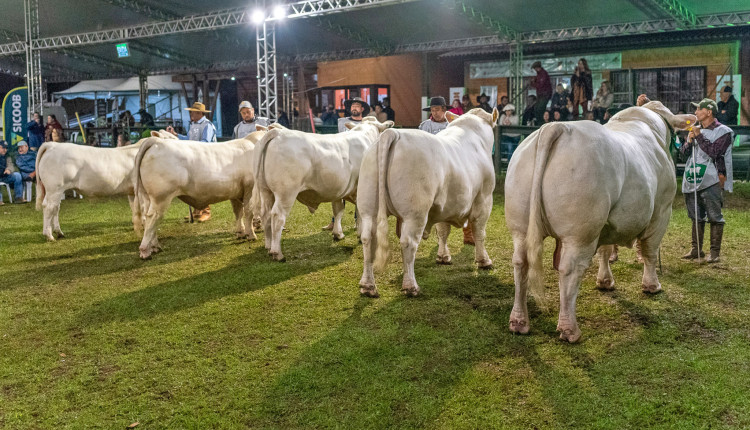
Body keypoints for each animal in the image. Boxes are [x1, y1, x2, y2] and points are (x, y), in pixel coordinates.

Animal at [135, 131, 268, 258]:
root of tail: (156, 141)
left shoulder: (235, 192)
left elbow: (238, 213)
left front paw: (240, 233)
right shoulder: (250, 189)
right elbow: (248, 212)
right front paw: (251, 235)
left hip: (148, 198)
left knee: (148, 219)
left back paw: (155, 246)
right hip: (161, 197)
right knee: (152, 218)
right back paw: (145, 251)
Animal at [254, 116, 394, 260]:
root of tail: (278, 132)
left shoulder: (338, 190)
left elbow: (338, 210)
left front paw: (338, 234)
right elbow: (359, 213)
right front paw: (360, 236)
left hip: (266, 191)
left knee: (266, 215)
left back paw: (268, 246)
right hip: (286, 193)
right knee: (278, 216)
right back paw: (277, 253)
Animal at [358, 106, 500, 298]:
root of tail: (392, 133)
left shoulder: (444, 206)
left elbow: (443, 231)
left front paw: (443, 256)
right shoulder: (484, 199)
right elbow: (479, 232)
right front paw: (484, 261)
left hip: (368, 209)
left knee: (368, 239)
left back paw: (368, 286)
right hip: (415, 213)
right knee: (408, 242)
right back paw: (411, 286)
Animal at [506, 101, 700, 342]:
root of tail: (557, 127)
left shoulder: (608, 224)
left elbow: (605, 251)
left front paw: (605, 281)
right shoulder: (662, 211)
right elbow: (650, 252)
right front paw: (651, 285)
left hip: (521, 227)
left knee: (520, 263)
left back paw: (519, 321)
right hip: (581, 232)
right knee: (569, 270)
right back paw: (569, 329)